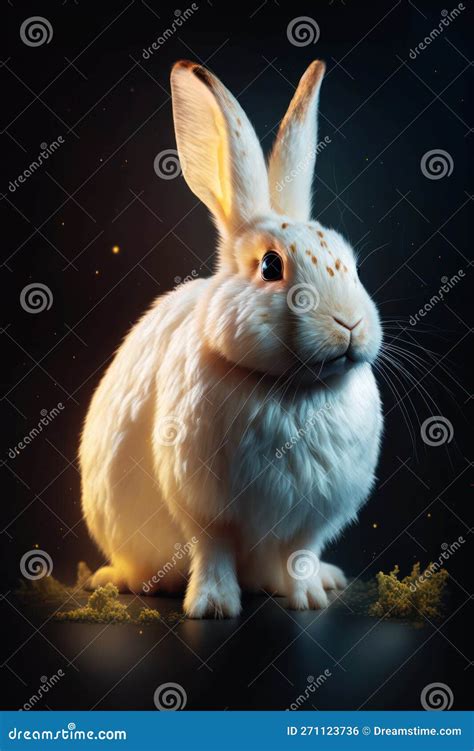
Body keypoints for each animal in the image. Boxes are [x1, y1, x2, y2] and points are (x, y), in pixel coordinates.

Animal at [79, 61, 384, 620]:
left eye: (352, 263)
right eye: (270, 267)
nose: (350, 324)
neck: (291, 390)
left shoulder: (313, 517)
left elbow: (301, 552)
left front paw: (311, 598)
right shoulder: (206, 507)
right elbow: (213, 549)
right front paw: (213, 607)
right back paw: (130, 581)